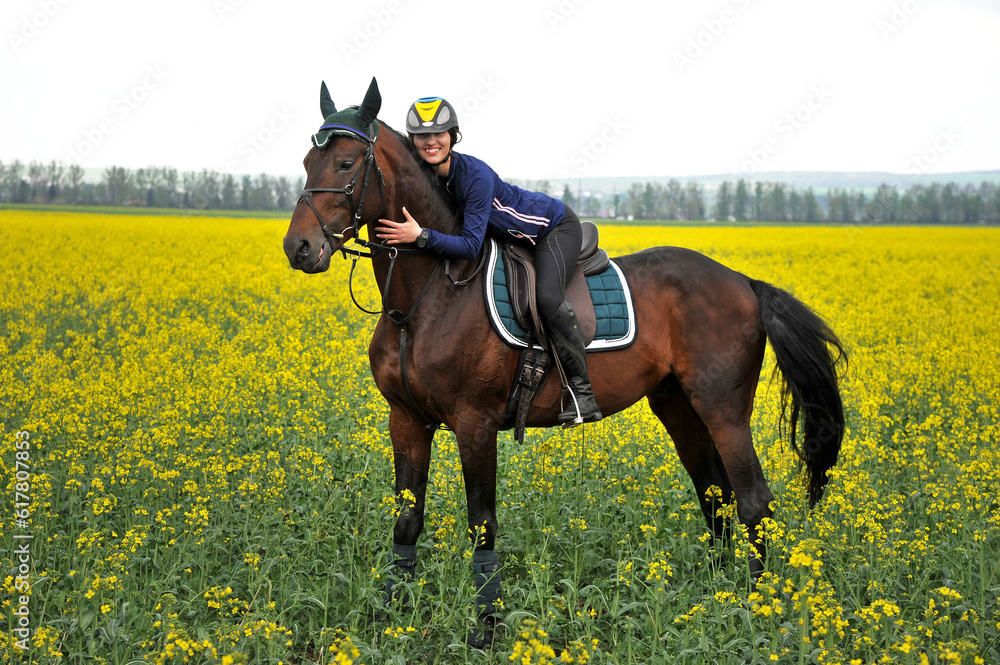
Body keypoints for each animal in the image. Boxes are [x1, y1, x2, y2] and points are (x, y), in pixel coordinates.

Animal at [282, 79, 844, 648]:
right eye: (307, 161)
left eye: (347, 163)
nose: (298, 248)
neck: (424, 297)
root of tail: (743, 282)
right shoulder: (407, 420)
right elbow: (406, 521)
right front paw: (391, 619)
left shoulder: (474, 423)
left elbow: (482, 525)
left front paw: (485, 629)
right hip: (678, 405)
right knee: (715, 496)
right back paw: (714, 598)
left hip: (723, 410)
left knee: (753, 501)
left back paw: (755, 609)